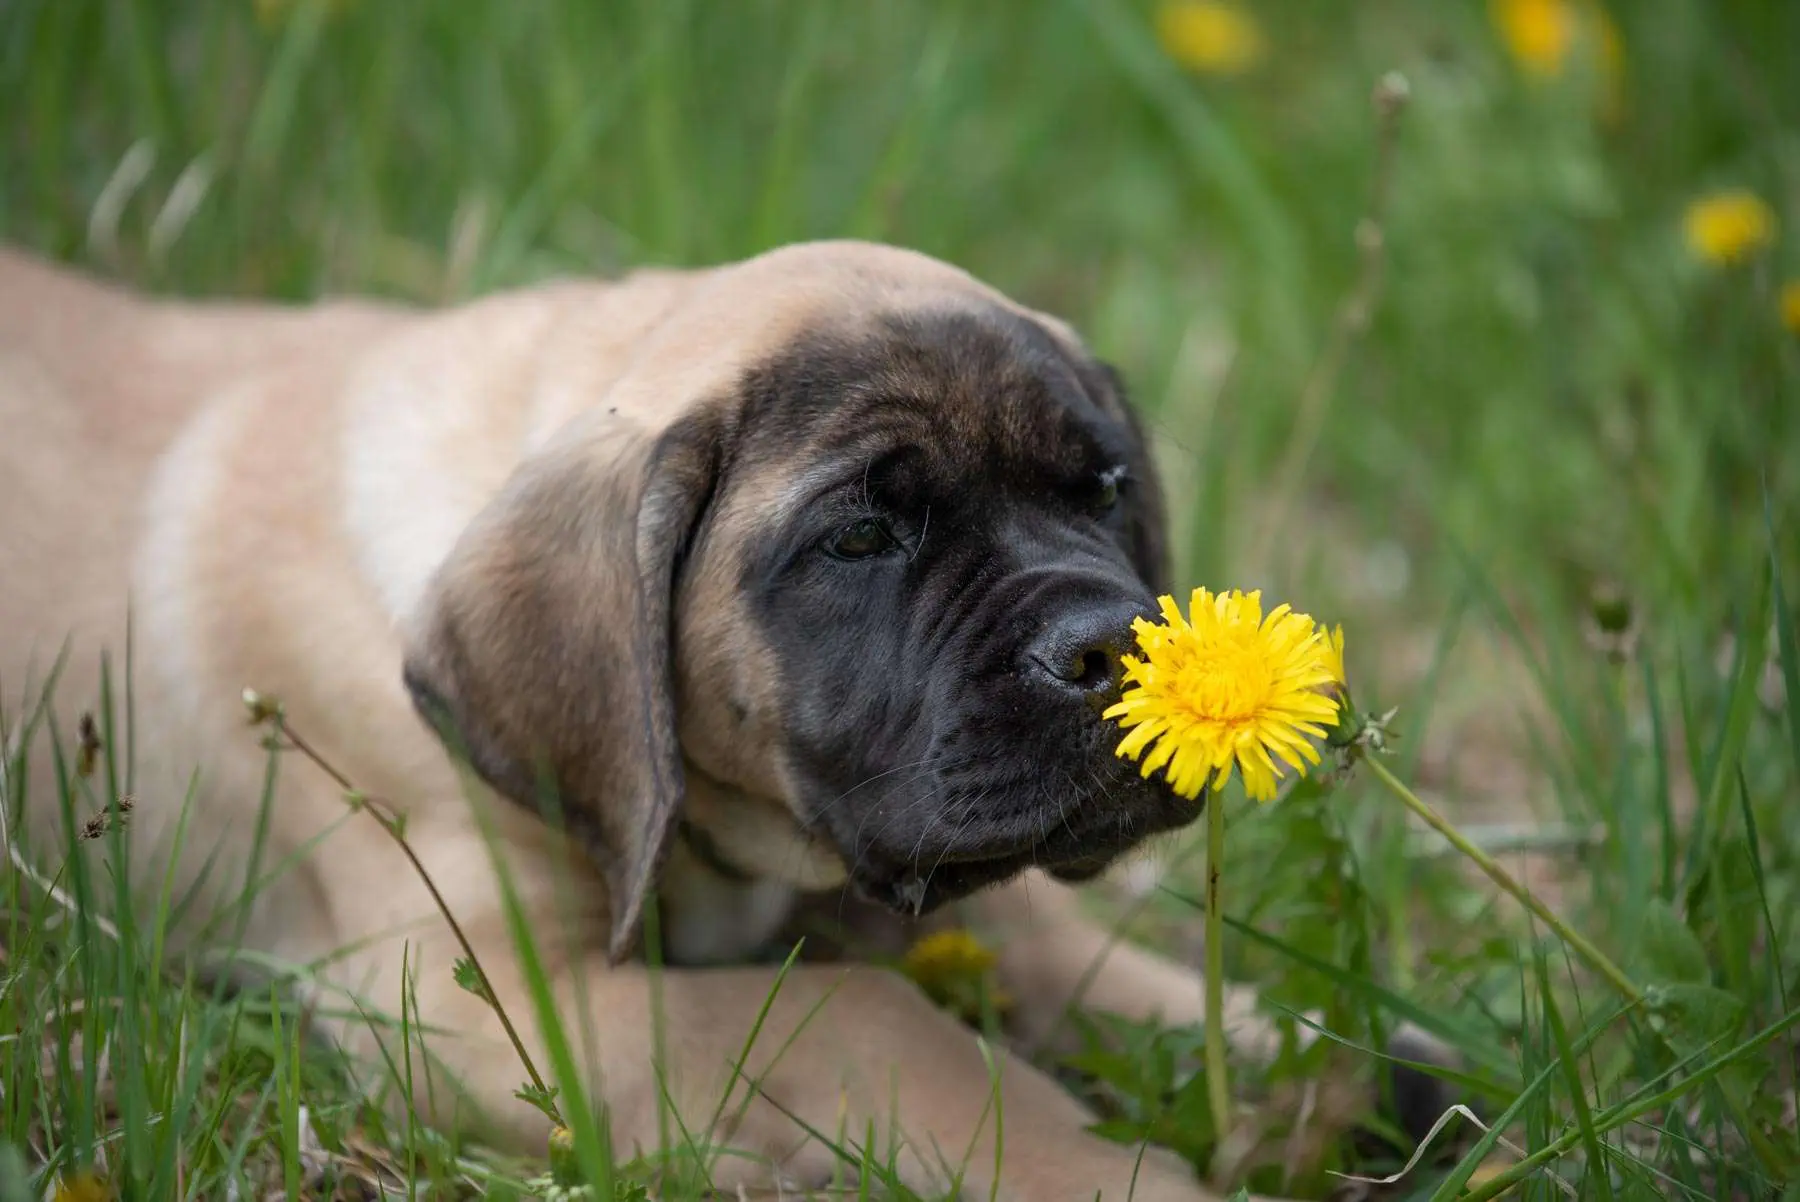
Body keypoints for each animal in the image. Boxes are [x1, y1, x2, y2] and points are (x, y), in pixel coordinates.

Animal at [0, 239, 1432, 1194]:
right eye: (859, 535)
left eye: (1107, 488)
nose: (1111, 643)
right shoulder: (477, 998)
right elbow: (864, 1015)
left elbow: (1105, 967)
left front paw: (1349, 1068)